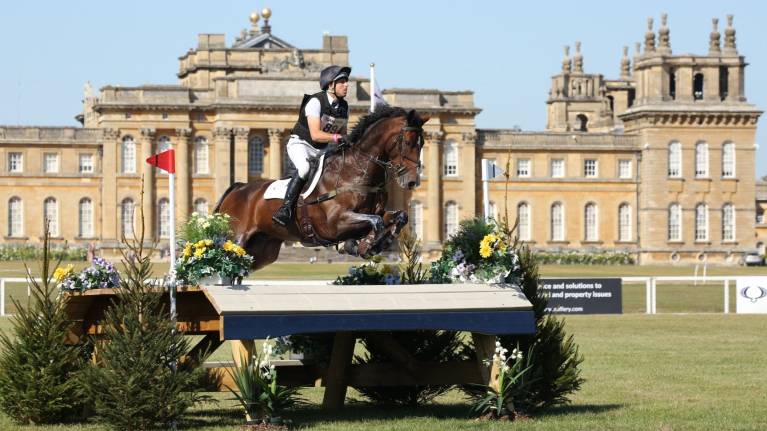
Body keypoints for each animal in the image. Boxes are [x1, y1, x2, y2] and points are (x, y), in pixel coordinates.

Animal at [214, 106, 428, 271]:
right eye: (408, 142)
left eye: (422, 144)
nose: (412, 181)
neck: (355, 171)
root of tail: (239, 188)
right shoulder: (334, 224)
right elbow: (376, 222)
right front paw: (367, 244)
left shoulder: (375, 213)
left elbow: (399, 216)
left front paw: (370, 244)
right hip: (235, 240)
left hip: (260, 251)